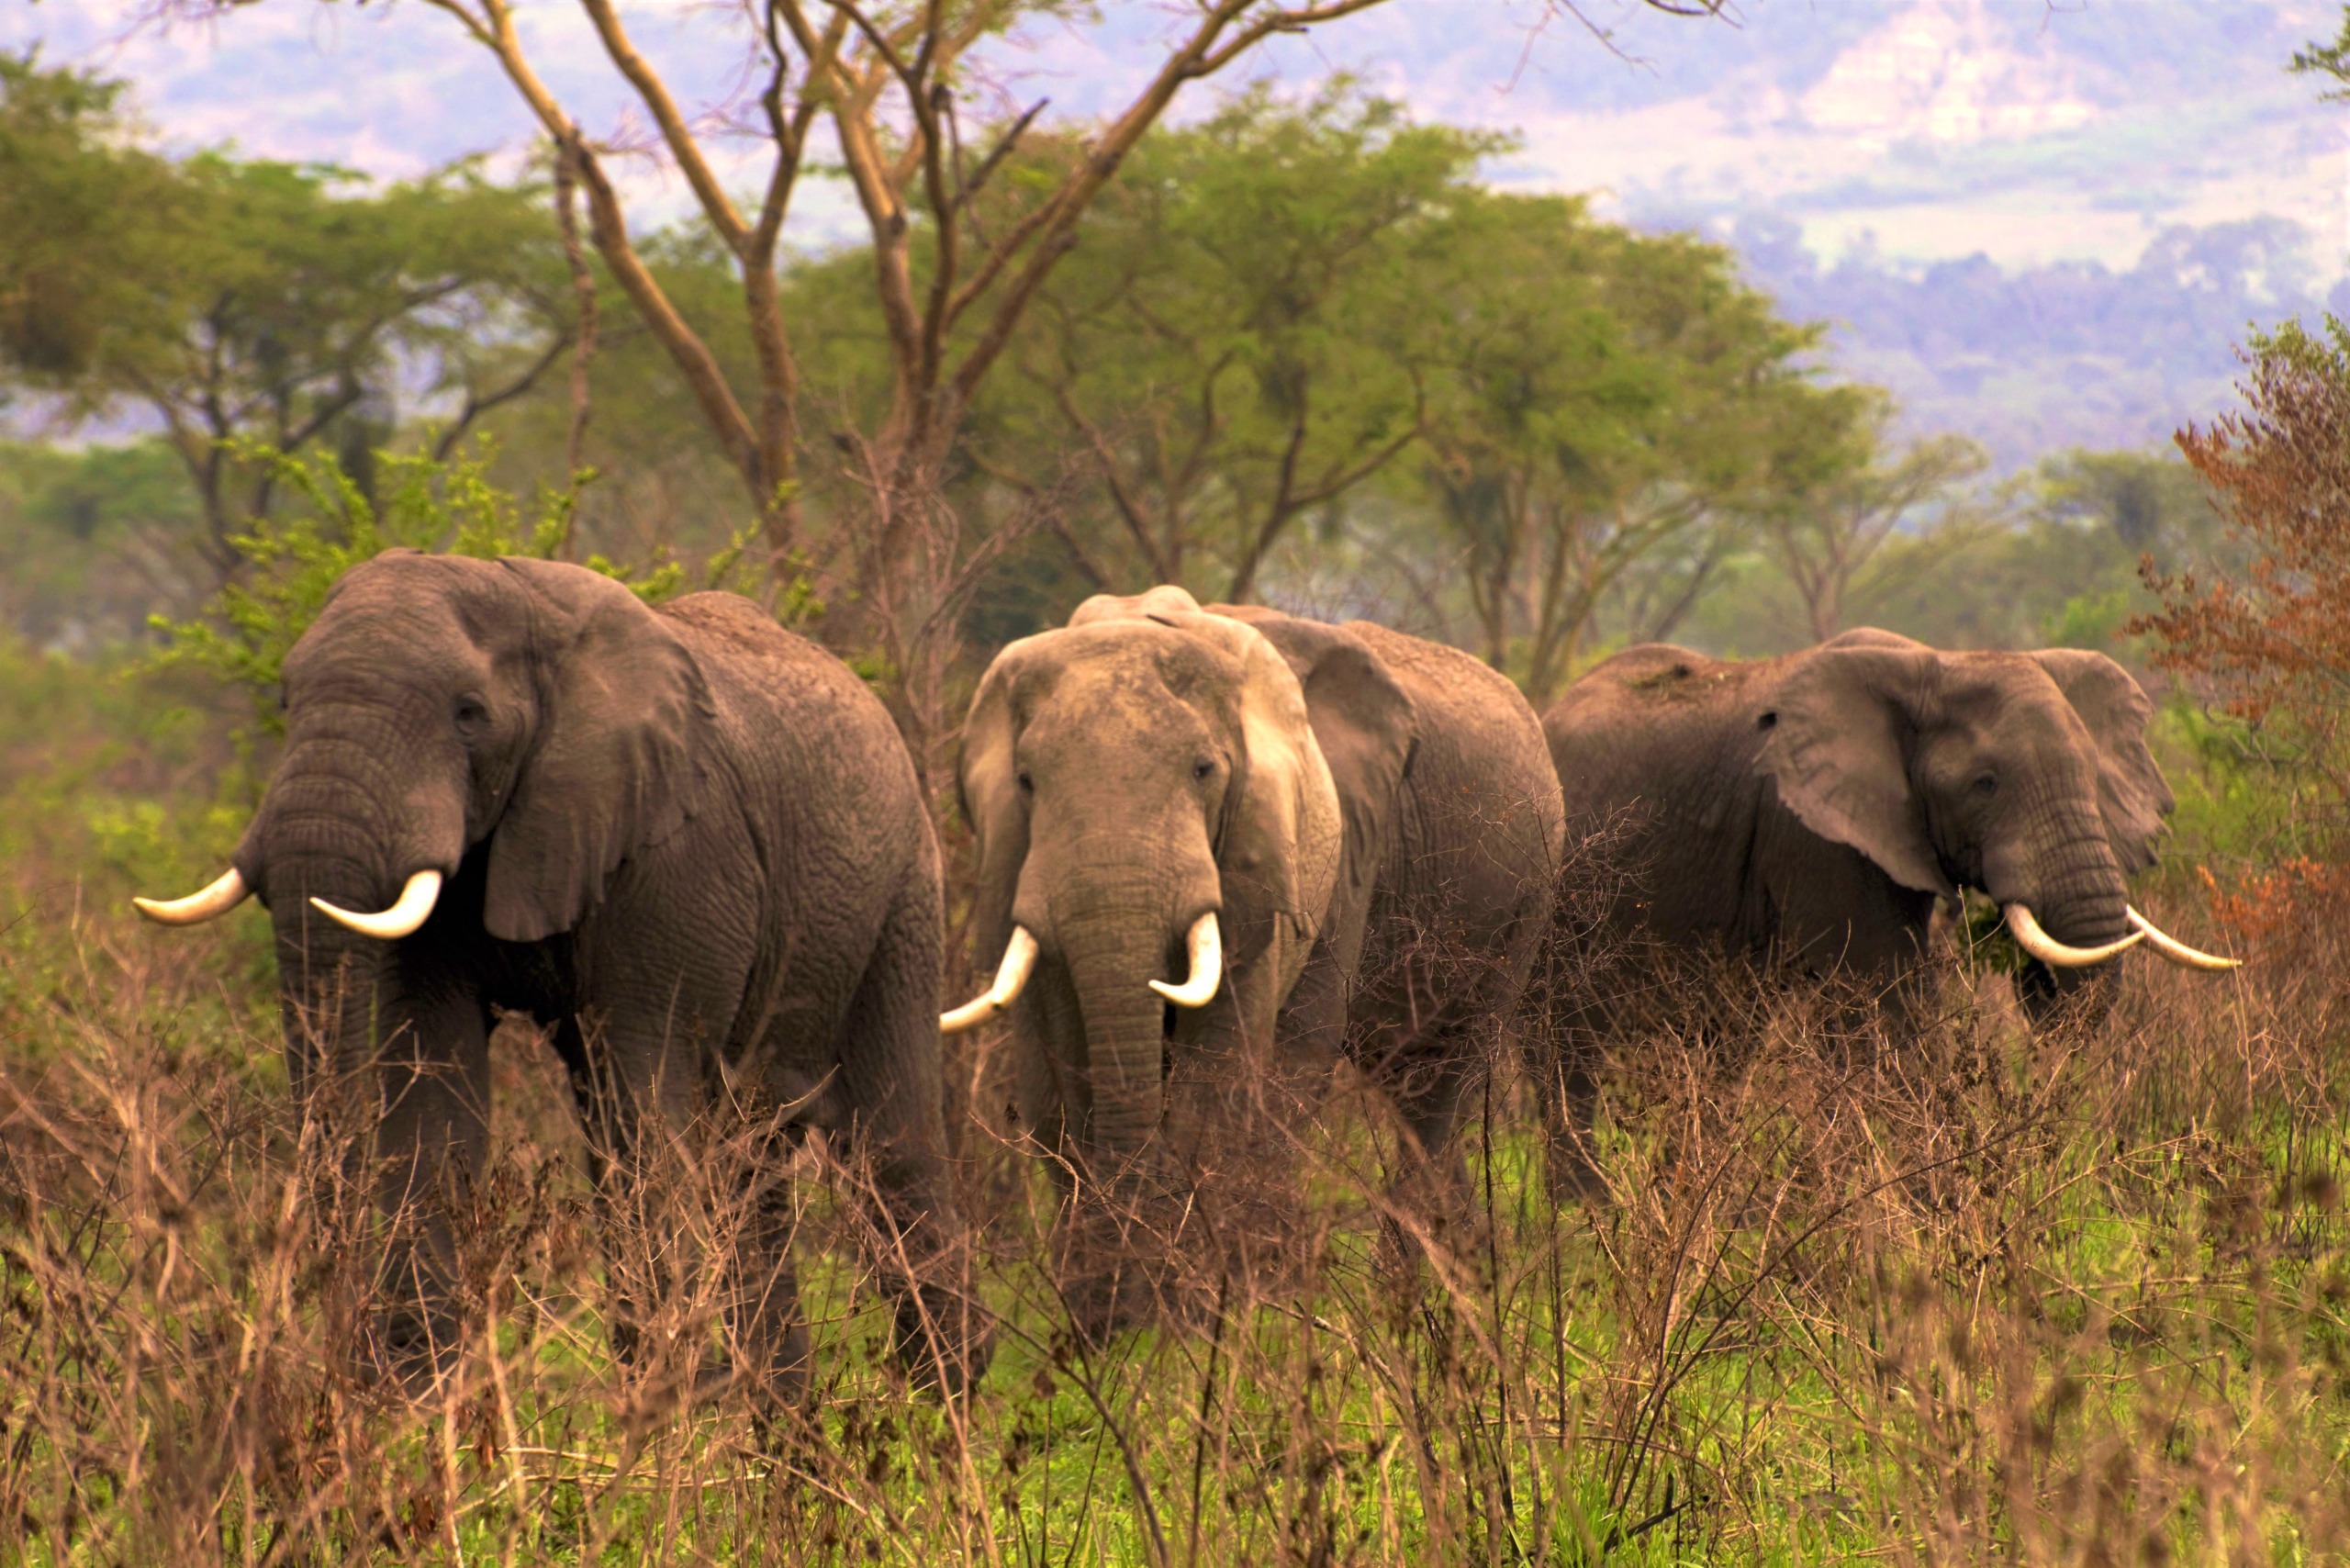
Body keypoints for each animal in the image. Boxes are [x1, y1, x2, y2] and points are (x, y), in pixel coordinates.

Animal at [140, 550, 982, 1401]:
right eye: (286, 697)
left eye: (468, 713)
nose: (343, 1365)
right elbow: (433, 1092)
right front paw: (416, 1402)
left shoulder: (674, 855)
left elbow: (643, 1102)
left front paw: (668, 1407)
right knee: (751, 1168)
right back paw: (784, 1421)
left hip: (905, 896)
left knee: (894, 1147)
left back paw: (939, 1410)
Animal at [945, 585, 1570, 1326]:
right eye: (1025, 780)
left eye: (1203, 770)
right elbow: (1055, 1084)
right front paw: (1104, 1321)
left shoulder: (1318, 847)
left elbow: (1239, 1070)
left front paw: (1220, 1316)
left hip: (1525, 899)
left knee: (1433, 1086)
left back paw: (1418, 1298)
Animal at [1541, 625, 2237, 1175]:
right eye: (1985, 784)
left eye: (2093, 778)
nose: (2035, 984)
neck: (1936, 663)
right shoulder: (1818, 835)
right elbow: (1885, 1009)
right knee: (1567, 1055)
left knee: (1721, 1044)